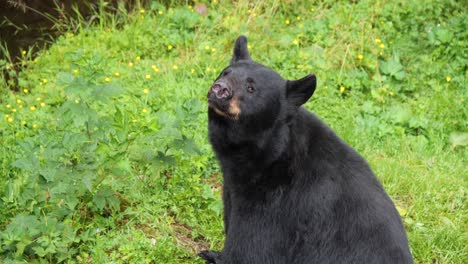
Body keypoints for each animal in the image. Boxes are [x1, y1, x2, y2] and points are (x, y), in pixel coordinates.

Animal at [199, 35, 412, 264]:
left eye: (251, 88)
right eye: (225, 72)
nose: (220, 89)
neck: (267, 152)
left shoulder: (277, 201)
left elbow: (253, 247)